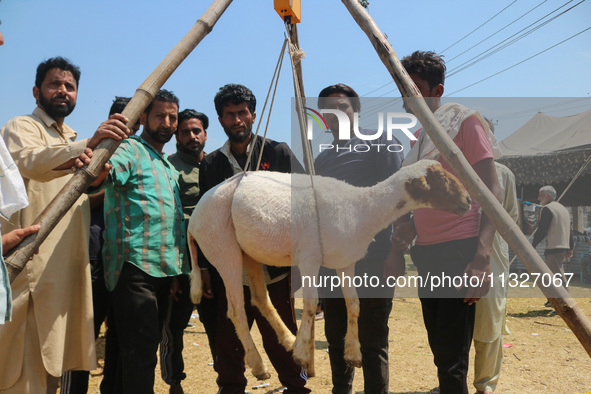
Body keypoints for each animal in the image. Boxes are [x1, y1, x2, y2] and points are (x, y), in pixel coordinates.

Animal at [187, 159, 474, 380]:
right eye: (441, 178)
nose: (469, 200)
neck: (364, 208)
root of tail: (193, 218)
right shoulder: (309, 257)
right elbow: (310, 304)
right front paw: (303, 355)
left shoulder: (346, 262)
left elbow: (354, 304)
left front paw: (353, 354)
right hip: (222, 247)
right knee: (236, 310)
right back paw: (259, 364)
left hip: (249, 252)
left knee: (260, 299)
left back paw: (288, 340)